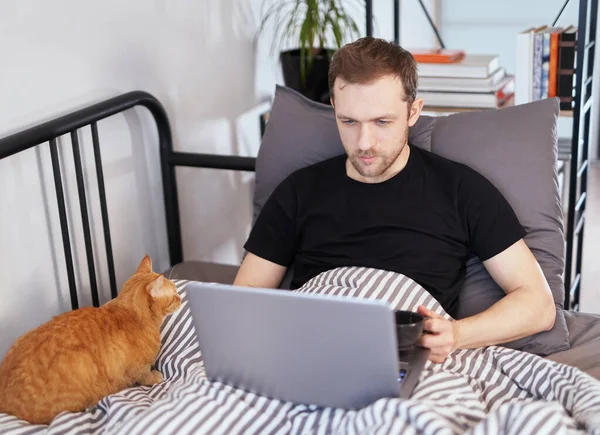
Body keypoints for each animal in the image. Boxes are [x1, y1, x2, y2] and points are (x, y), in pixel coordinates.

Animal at [0, 255, 180, 426]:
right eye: (174, 294)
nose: (180, 298)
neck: (130, 314)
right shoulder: (138, 368)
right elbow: (144, 375)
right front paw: (155, 377)